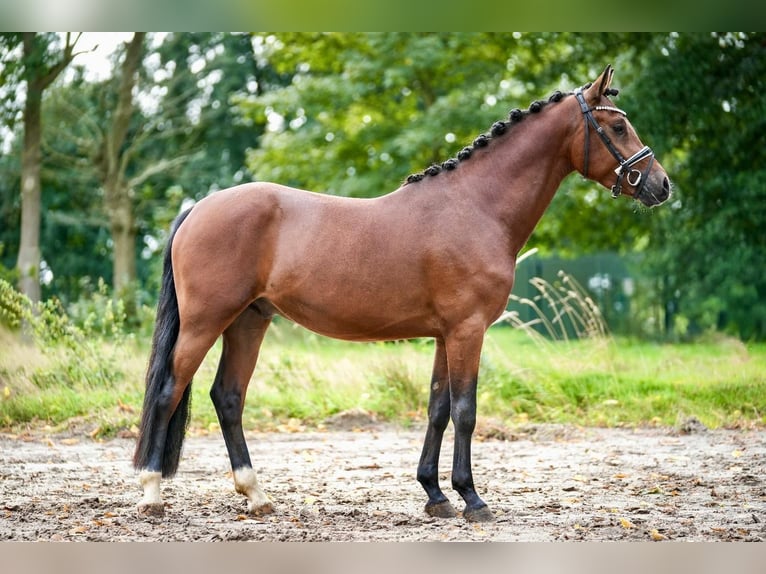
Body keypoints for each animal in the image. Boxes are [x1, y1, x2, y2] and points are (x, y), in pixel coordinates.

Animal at [133, 65, 671, 523]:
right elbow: (465, 411)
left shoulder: (445, 334)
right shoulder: (468, 331)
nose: (662, 185)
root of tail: (198, 208)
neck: (476, 206)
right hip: (206, 321)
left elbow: (437, 410)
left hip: (249, 319)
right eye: (617, 128)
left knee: (227, 397)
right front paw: (472, 497)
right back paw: (152, 494)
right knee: (167, 391)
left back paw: (256, 495)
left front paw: (435, 495)